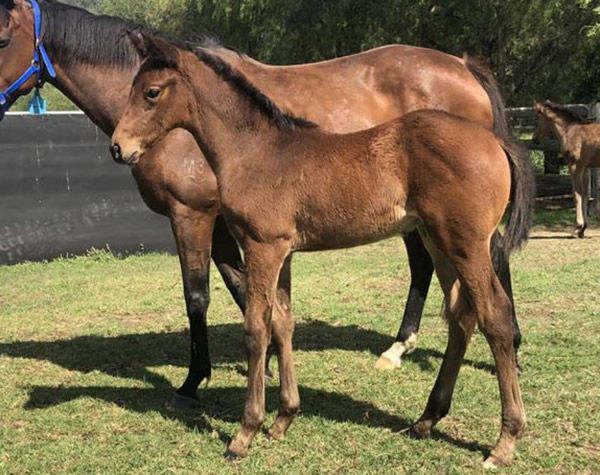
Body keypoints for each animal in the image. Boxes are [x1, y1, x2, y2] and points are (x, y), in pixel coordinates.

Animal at [0, 0, 524, 410]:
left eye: (4, 38)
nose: (119, 148)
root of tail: (463, 66)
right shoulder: (231, 228)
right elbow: (245, 291)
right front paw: (270, 362)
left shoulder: (192, 216)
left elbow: (198, 296)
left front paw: (194, 381)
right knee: (428, 267)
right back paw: (401, 348)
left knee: (489, 258)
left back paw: (507, 343)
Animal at [110, 32, 532, 468]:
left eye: (152, 92)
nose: (118, 147)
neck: (255, 151)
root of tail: (495, 140)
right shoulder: (284, 252)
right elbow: (283, 322)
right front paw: (283, 419)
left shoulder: (262, 246)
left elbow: (256, 327)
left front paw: (245, 433)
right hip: (439, 242)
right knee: (461, 316)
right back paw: (427, 419)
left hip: (466, 243)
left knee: (495, 315)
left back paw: (504, 442)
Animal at [536, 102, 600, 240]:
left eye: (537, 119)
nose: (534, 139)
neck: (569, 131)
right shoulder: (585, 168)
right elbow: (584, 195)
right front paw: (582, 229)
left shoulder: (574, 166)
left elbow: (576, 194)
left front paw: (577, 228)